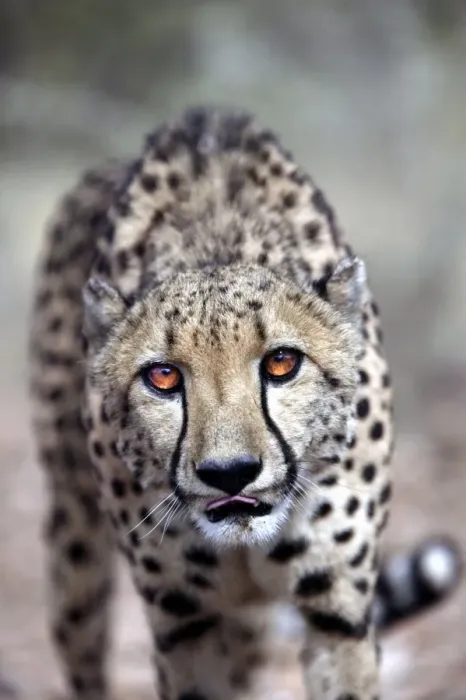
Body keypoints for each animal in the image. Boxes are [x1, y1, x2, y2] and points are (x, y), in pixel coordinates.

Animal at [28, 106, 462, 700]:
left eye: (282, 363)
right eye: (162, 376)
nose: (230, 472)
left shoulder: (338, 615)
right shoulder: (186, 625)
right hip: (74, 538)